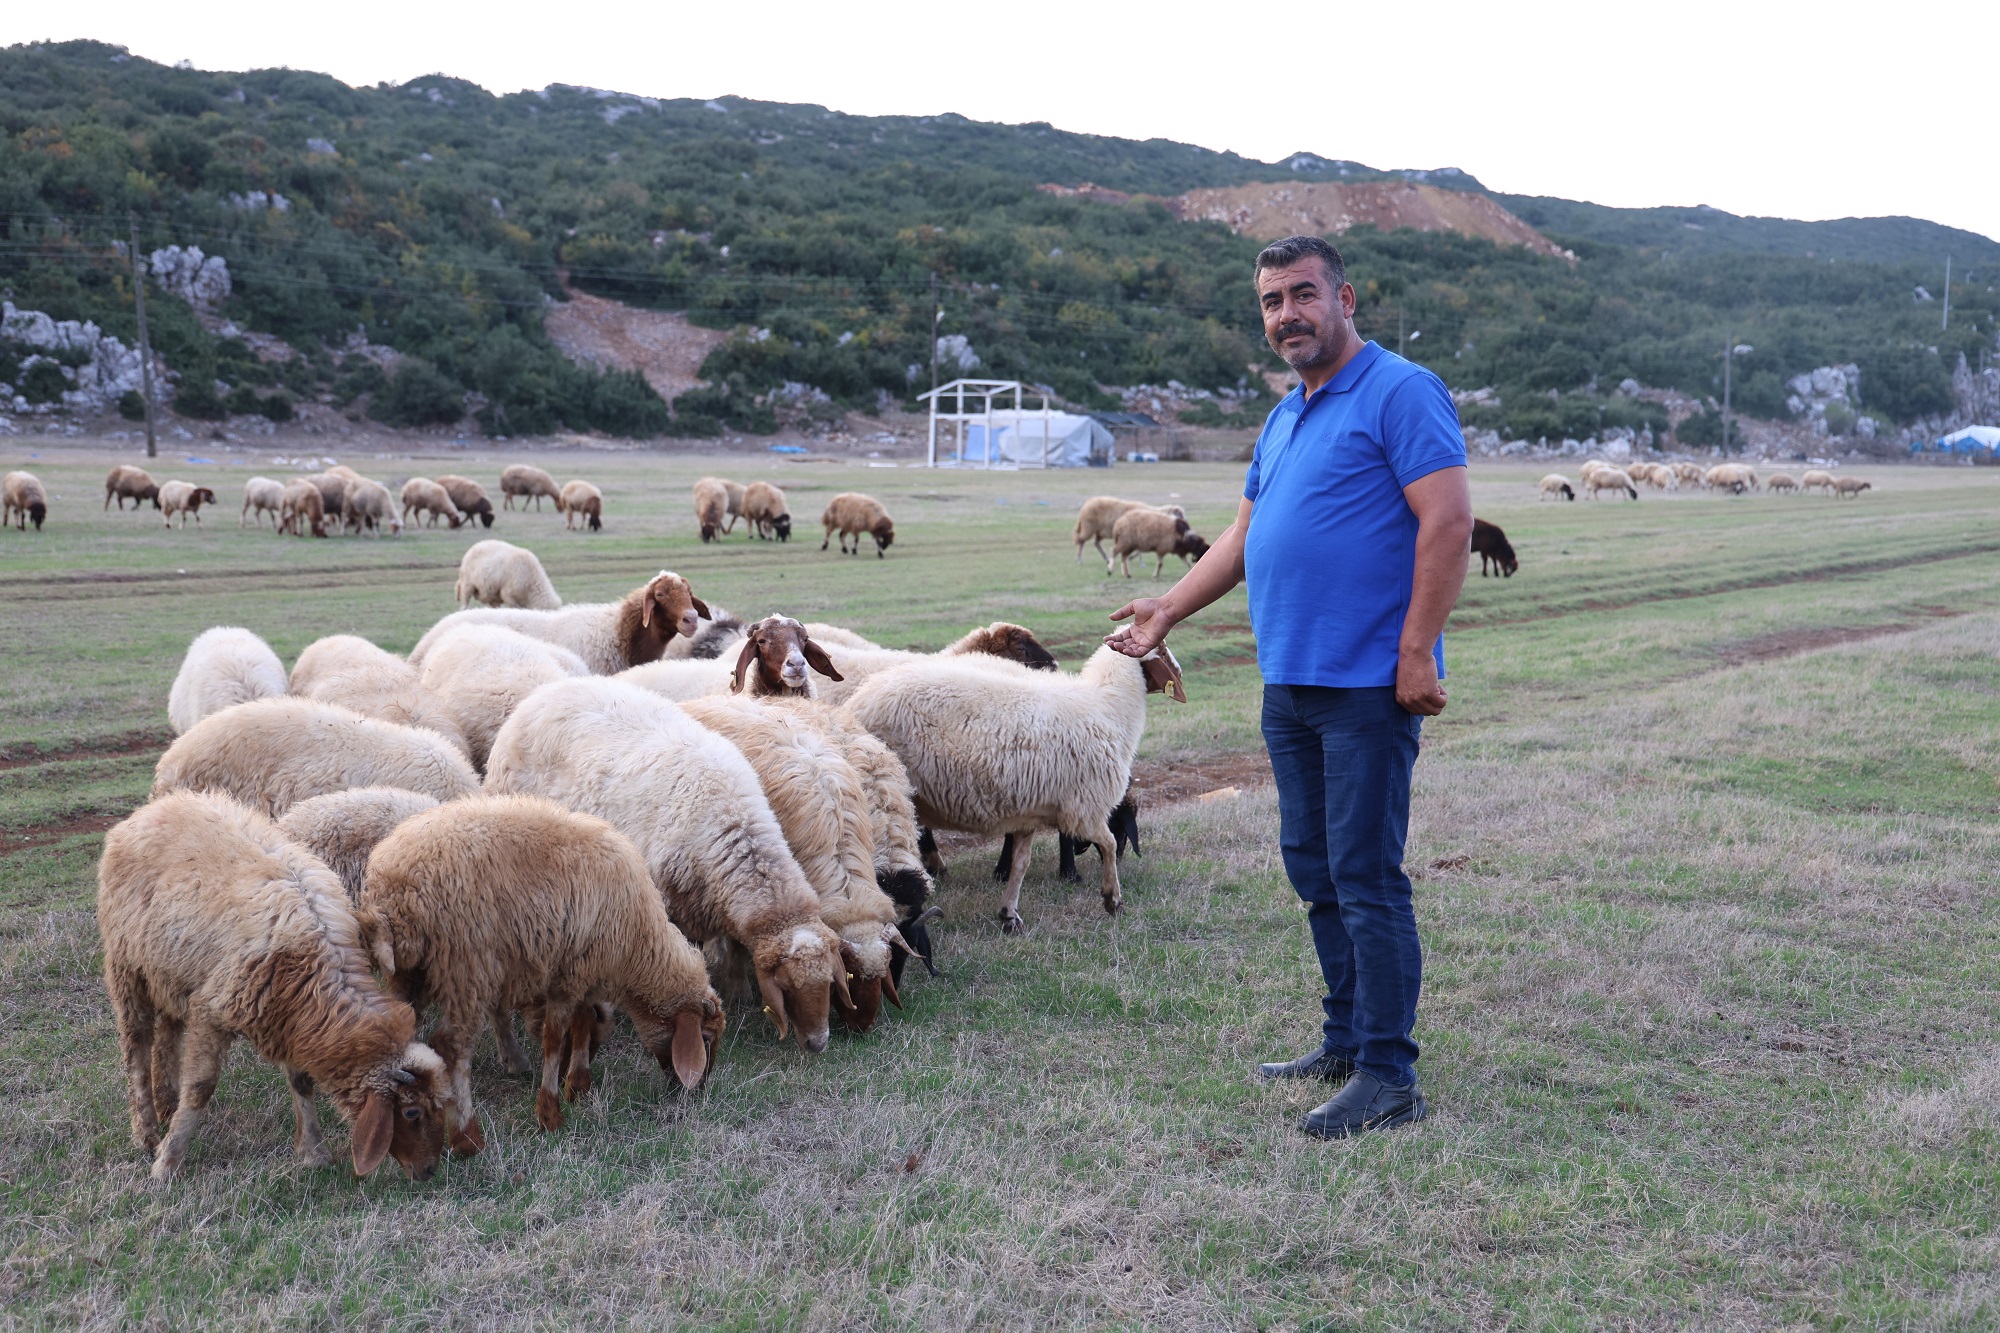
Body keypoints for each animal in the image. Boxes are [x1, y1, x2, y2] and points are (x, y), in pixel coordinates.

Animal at [494, 680, 860, 1056]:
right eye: (786, 988)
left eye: (830, 984)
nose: (819, 1043)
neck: (733, 821)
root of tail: (547, 691)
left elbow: (738, 947)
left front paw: (740, 991)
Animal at [848, 640, 1184, 928]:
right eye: (1165, 653)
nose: (1181, 677)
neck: (1110, 707)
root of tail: (858, 702)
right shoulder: (1083, 809)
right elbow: (1110, 844)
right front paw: (1112, 898)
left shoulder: (1030, 813)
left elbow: (1021, 863)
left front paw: (1009, 914)